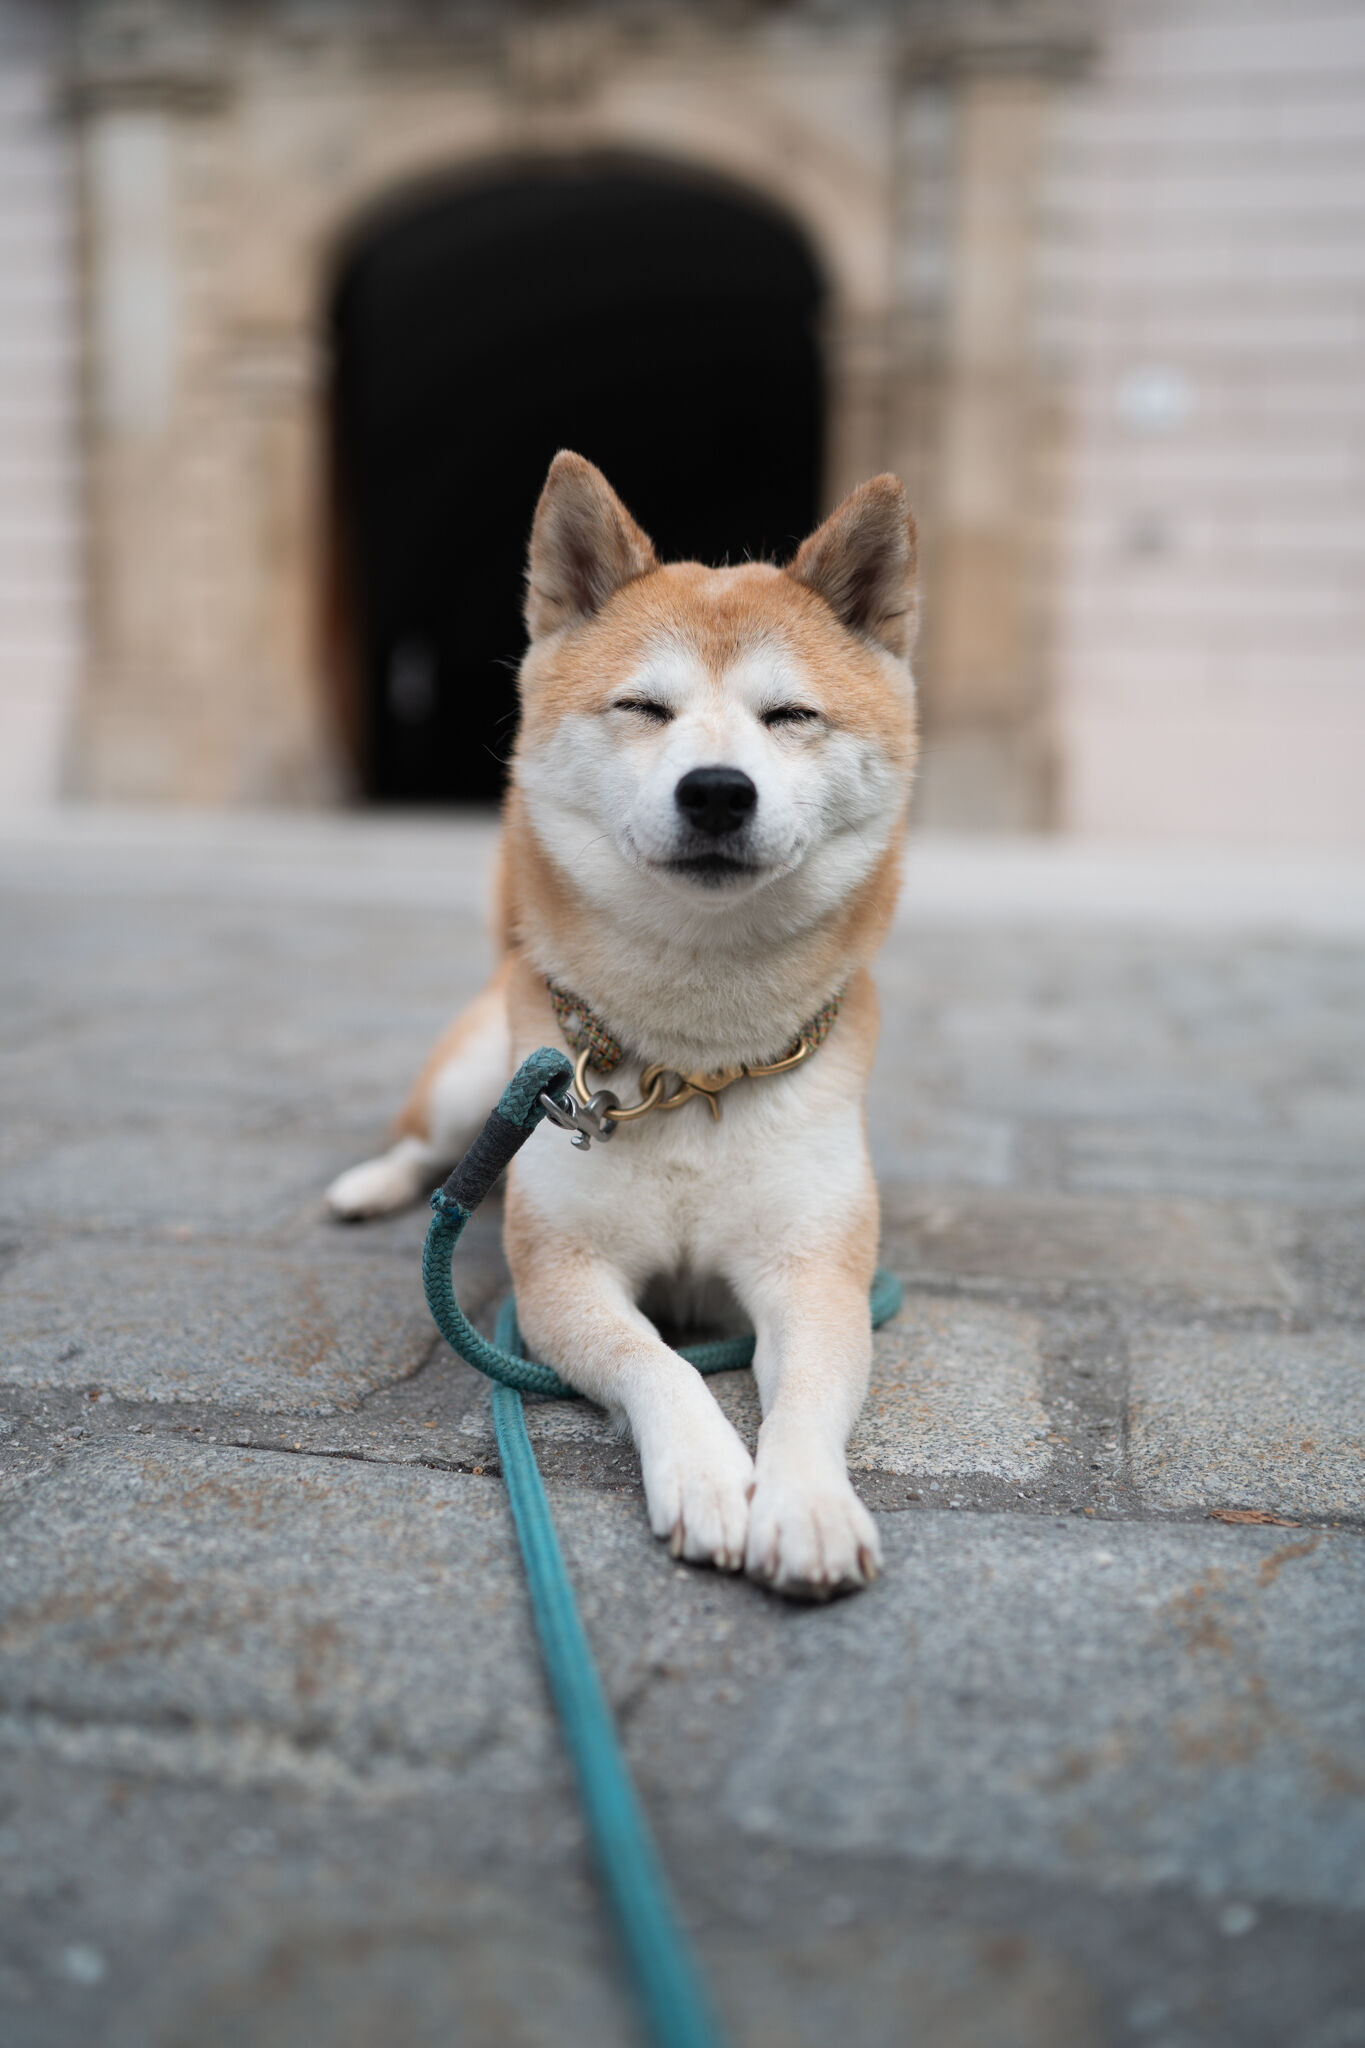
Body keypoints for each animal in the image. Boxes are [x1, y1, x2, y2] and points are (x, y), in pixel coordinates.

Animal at [327, 452, 916, 1597]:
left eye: (790, 715)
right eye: (644, 706)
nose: (718, 790)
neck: (691, 1066)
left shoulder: (816, 1274)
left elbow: (809, 1397)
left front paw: (807, 1506)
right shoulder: (564, 1277)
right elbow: (659, 1363)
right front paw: (708, 1474)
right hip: (480, 1082)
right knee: (430, 1152)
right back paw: (371, 1185)